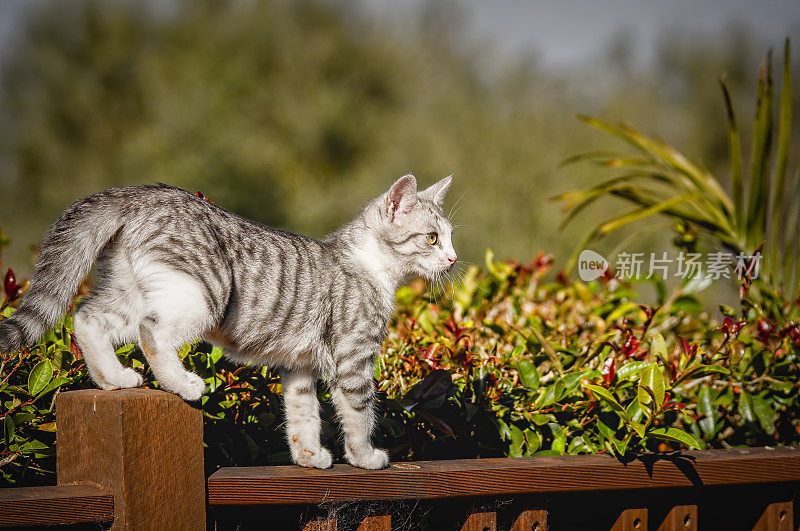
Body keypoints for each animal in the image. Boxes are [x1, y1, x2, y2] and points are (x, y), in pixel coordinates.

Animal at [0, 176, 456, 470]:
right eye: (432, 238)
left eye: (449, 237)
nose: (453, 259)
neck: (372, 266)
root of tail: (140, 194)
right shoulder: (353, 357)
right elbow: (359, 414)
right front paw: (366, 457)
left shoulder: (300, 366)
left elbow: (303, 415)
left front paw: (309, 457)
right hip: (202, 295)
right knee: (151, 331)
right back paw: (182, 383)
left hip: (131, 289)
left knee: (87, 316)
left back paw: (112, 378)